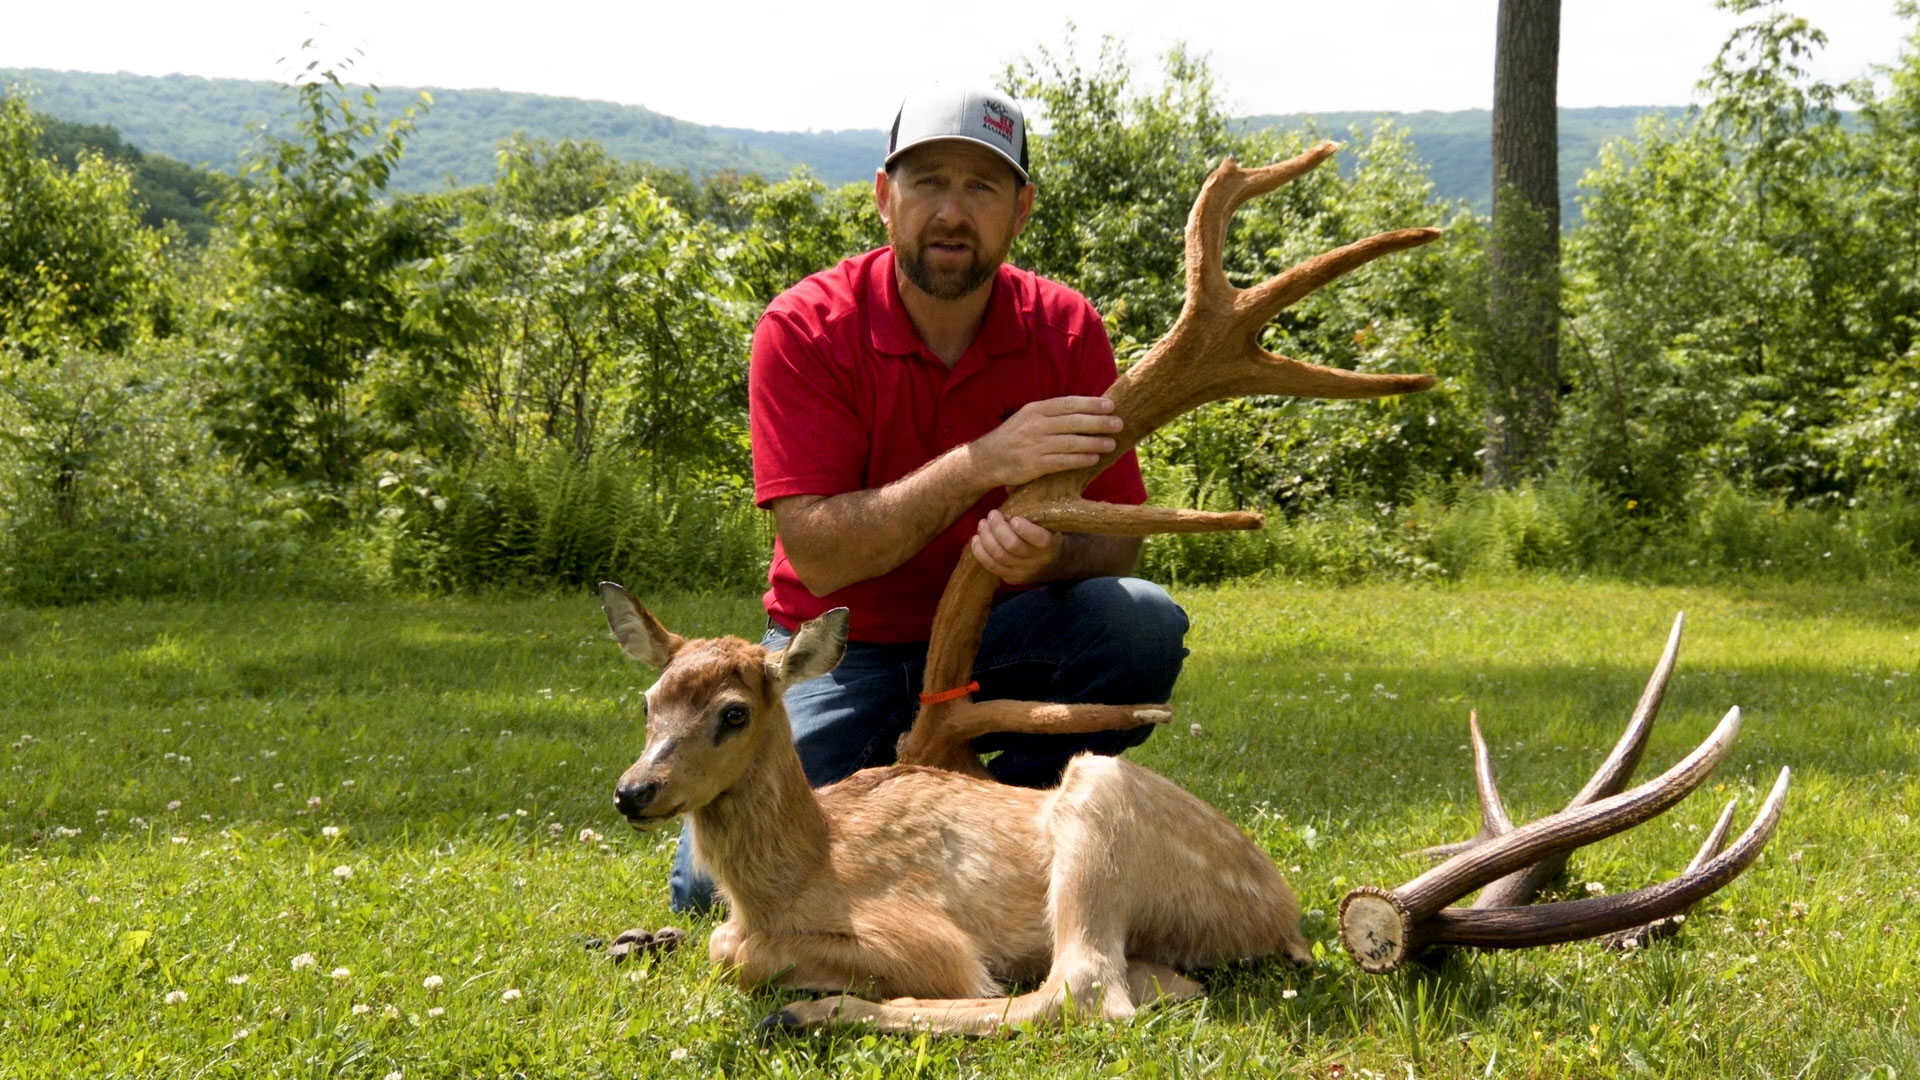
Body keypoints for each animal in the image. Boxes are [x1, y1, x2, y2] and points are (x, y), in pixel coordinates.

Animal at [606, 143, 1789, 1022]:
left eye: (732, 712)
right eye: (647, 701)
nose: (634, 791)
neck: (807, 864)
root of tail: (1295, 920)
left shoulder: (918, 929)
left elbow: (765, 955)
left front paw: (812, 985)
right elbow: (717, 941)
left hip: (1099, 808)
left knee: (1086, 993)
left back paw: (832, 1013)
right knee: (1141, 987)